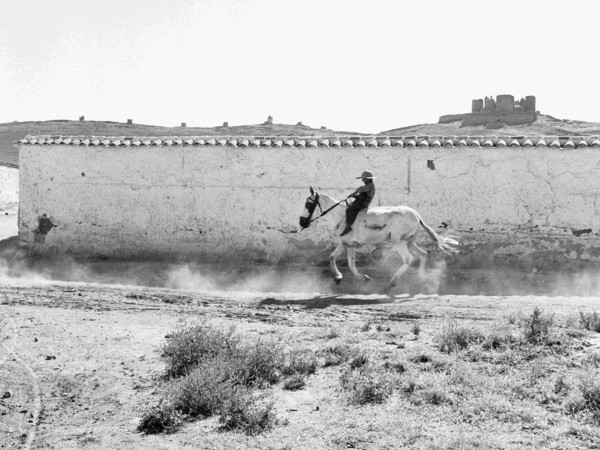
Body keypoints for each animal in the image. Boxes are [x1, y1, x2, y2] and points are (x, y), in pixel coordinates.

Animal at [298, 186, 460, 284]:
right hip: (410, 242)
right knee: (423, 255)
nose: (302, 222)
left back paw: (393, 281)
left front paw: (339, 277)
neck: (340, 215)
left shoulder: (346, 244)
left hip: (399, 243)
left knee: (408, 259)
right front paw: (349, 277)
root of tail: (416, 215)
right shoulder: (347, 245)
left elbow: (343, 261)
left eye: (308, 204)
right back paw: (422, 278)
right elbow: (340, 260)